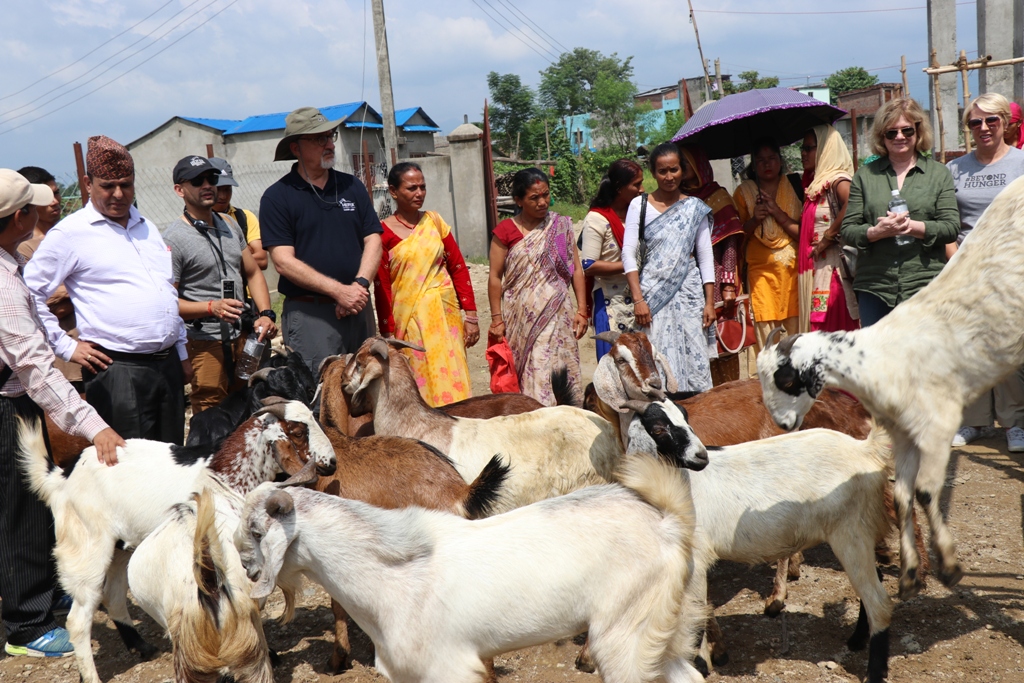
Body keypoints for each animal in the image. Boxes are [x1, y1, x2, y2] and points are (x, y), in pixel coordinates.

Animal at [14, 403, 335, 683]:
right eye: (297, 431)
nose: (331, 464)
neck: (222, 480)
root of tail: (60, 477)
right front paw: (271, 654)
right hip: (87, 548)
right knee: (79, 619)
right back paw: (90, 675)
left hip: (121, 548)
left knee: (114, 596)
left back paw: (140, 646)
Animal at [235, 454, 708, 683]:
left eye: (256, 530)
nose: (245, 570)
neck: (393, 574)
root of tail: (667, 523)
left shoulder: (451, 669)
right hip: (657, 633)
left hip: (622, 639)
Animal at [757, 174, 1024, 602]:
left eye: (785, 378)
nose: (782, 425)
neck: (880, 360)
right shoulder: (903, 435)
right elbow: (901, 497)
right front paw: (911, 574)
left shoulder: (937, 426)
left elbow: (926, 493)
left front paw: (949, 567)